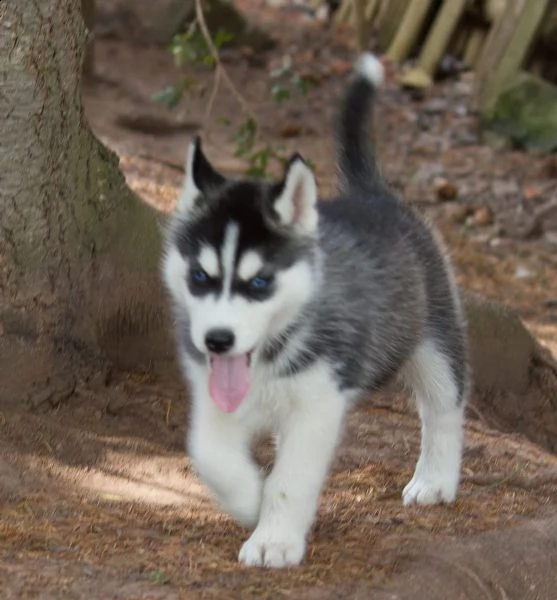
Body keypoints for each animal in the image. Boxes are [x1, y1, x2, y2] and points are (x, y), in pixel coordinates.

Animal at [162, 54, 470, 568]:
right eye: (200, 276)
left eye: (260, 282)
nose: (218, 340)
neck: (270, 354)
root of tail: (372, 194)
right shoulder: (212, 394)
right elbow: (209, 454)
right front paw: (250, 500)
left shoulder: (320, 401)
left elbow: (292, 479)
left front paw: (274, 539)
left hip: (435, 340)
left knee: (443, 407)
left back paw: (435, 479)